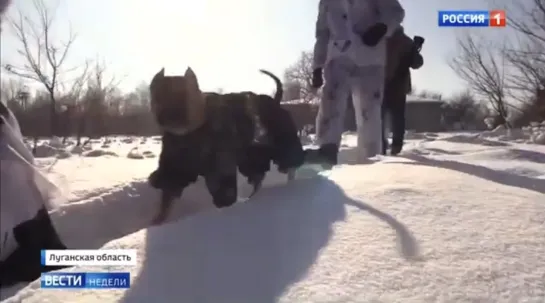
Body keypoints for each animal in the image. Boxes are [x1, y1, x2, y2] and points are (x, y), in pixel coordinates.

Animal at [147, 69, 304, 224]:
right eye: (158, 97)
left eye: (184, 95)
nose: (169, 115)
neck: (189, 133)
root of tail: (275, 102)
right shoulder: (174, 168)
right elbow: (167, 197)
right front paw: (158, 220)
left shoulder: (220, 168)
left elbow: (223, 191)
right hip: (252, 159)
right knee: (258, 178)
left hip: (280, 148)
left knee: (288, 166)